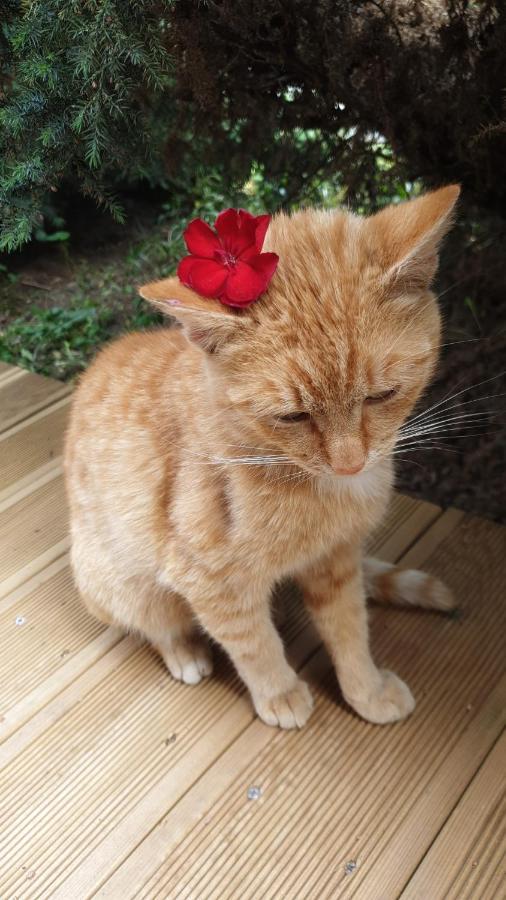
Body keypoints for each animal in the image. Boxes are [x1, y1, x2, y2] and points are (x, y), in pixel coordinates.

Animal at [63, 186, 458, 728]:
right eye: (292, 416)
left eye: (382, 395)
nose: (350, 462)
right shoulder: (211, 583)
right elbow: (255, 644)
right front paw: (280, 694)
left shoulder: (335, 561)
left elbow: (349, 630)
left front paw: (366, 691)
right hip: (116, 583)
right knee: (159, 624)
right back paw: (185, 652)